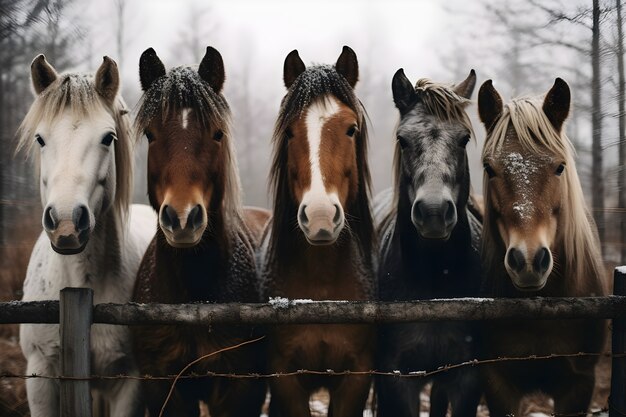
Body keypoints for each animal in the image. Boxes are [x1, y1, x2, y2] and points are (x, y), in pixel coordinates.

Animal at [16, 55, 155, 416]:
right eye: (40, 139)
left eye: (108, 138)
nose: (66, 223)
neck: (79, 288)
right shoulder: (40, 376)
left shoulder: (129, 384)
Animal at [130, 46, 266, 416]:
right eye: (150, 134)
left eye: (217, 133)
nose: (181, 218)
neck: (193, 299)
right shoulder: (162, 385)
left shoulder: (240, 389)